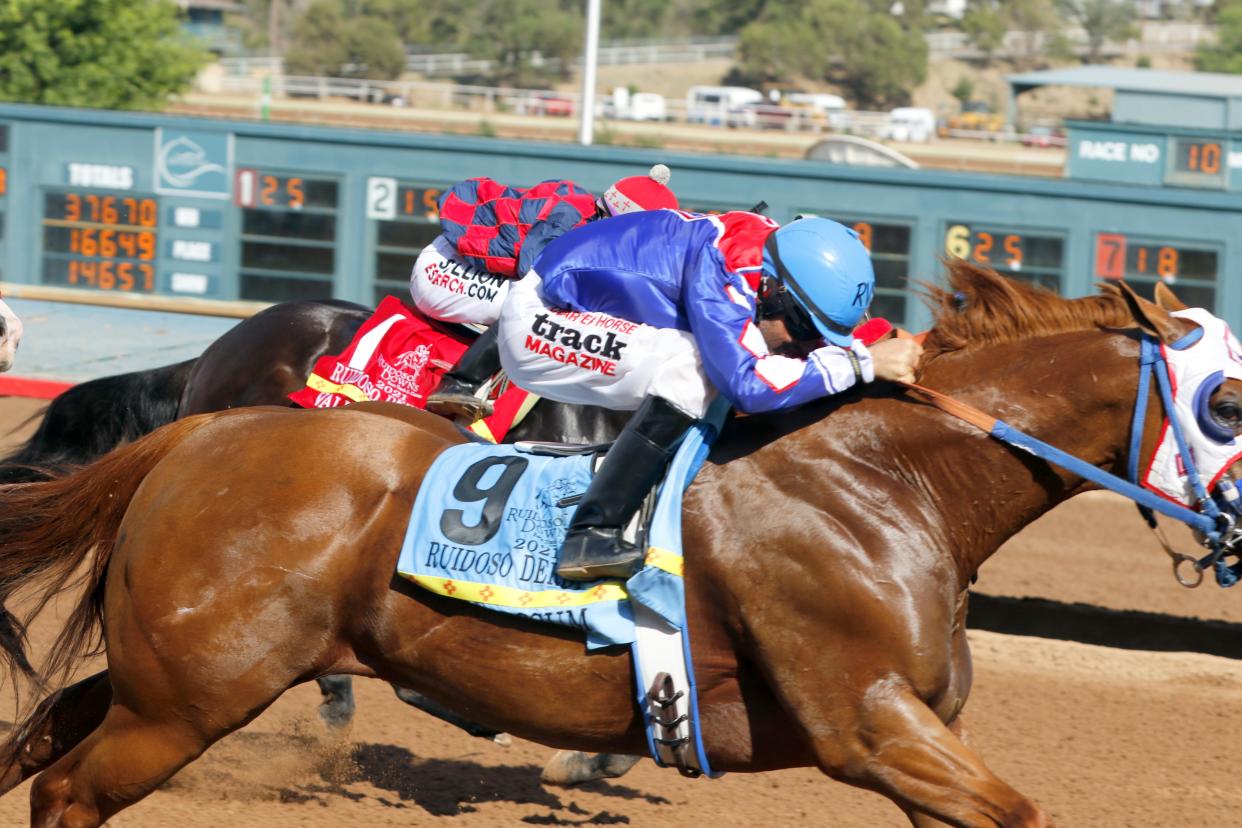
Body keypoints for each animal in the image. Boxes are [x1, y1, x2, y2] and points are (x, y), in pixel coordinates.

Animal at [2, 260, 1242, 828]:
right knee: (67, 787)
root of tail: (207, 424)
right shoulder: (871, 724)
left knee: (45, 740)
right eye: (1226, 403)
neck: (887, 481)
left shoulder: (914, 741)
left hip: (168, 675)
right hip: (186, 699)